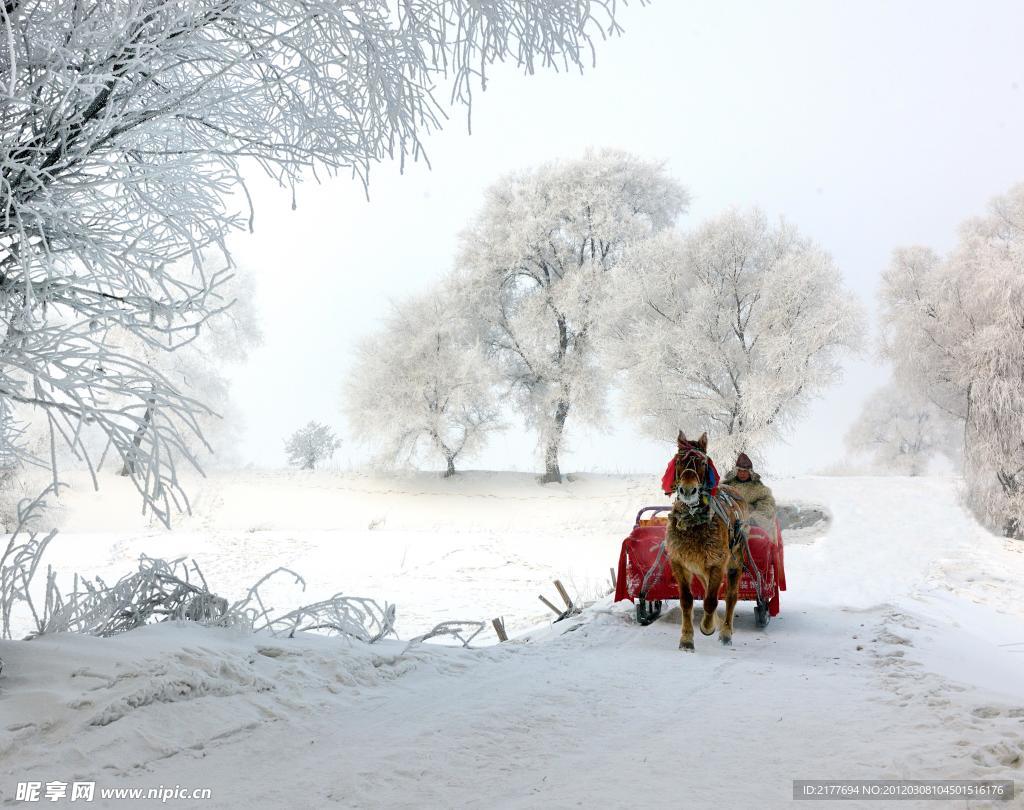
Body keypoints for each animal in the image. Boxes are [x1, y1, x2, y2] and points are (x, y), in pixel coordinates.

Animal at [667, 430, 749, 651]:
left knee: (730, 596)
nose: (688, 491)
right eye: (679, 460)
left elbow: (711, 600)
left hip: (734, 561)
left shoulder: (718, 564)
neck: (694, 520)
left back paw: (726, 631)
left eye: (703, 463)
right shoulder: (679, 562)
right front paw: (686, 639)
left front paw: (707, 627)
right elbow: (687, 600)